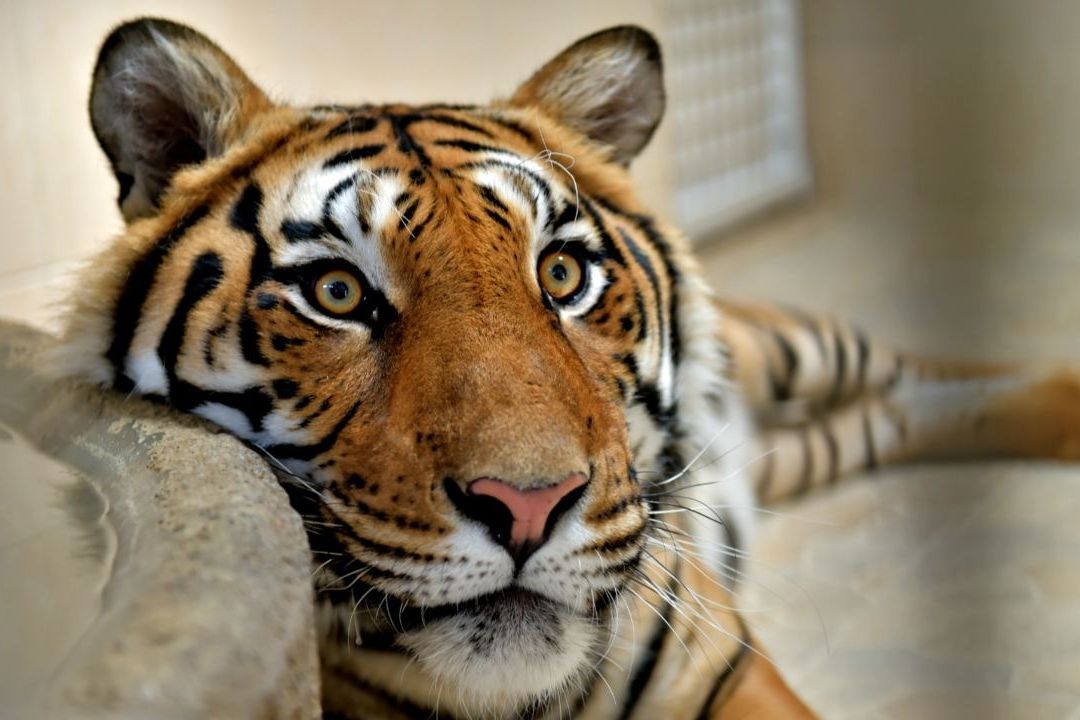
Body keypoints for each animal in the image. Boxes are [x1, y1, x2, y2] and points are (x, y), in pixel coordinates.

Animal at [56, 17, 1080, 719]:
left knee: (925, 366)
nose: (529, 505)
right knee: (905, 407)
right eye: (338, 293)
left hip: (795, 347)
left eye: (561, 274)